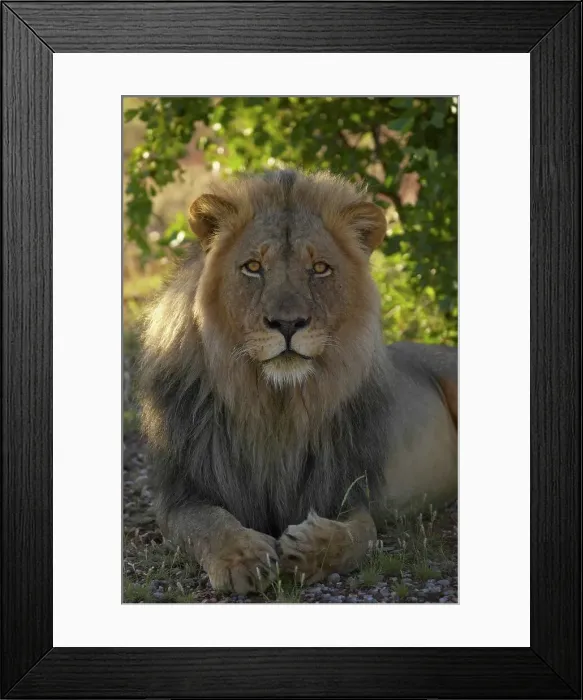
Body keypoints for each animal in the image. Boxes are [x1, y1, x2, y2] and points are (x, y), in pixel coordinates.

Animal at [138, 169, 457, 595]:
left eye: (320, 269)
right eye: (253, 266)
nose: (287, 324)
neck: (277, 405)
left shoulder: (346, 490)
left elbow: (360, 534)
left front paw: (309, 550)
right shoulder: (181, 492)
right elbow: (206, 525)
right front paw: (243, 558)